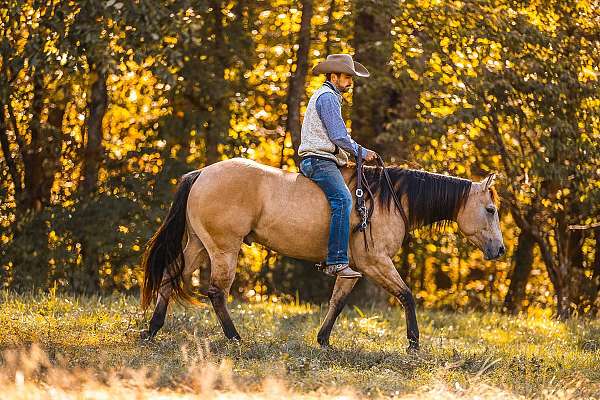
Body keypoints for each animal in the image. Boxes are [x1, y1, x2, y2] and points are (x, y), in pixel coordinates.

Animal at [138, 156, 504, 350]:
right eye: (490, 209)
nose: (500, 249)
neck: (386, 200)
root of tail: (202, 173)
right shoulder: (377, 263)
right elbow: (406, 295)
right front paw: (413, 343)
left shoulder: (354, 269)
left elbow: (337, 302)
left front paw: (324, 339)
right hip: (223, 249)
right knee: (216, 293)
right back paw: (235, 337)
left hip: (200, 246)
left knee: (170, 277)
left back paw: (152, 330)